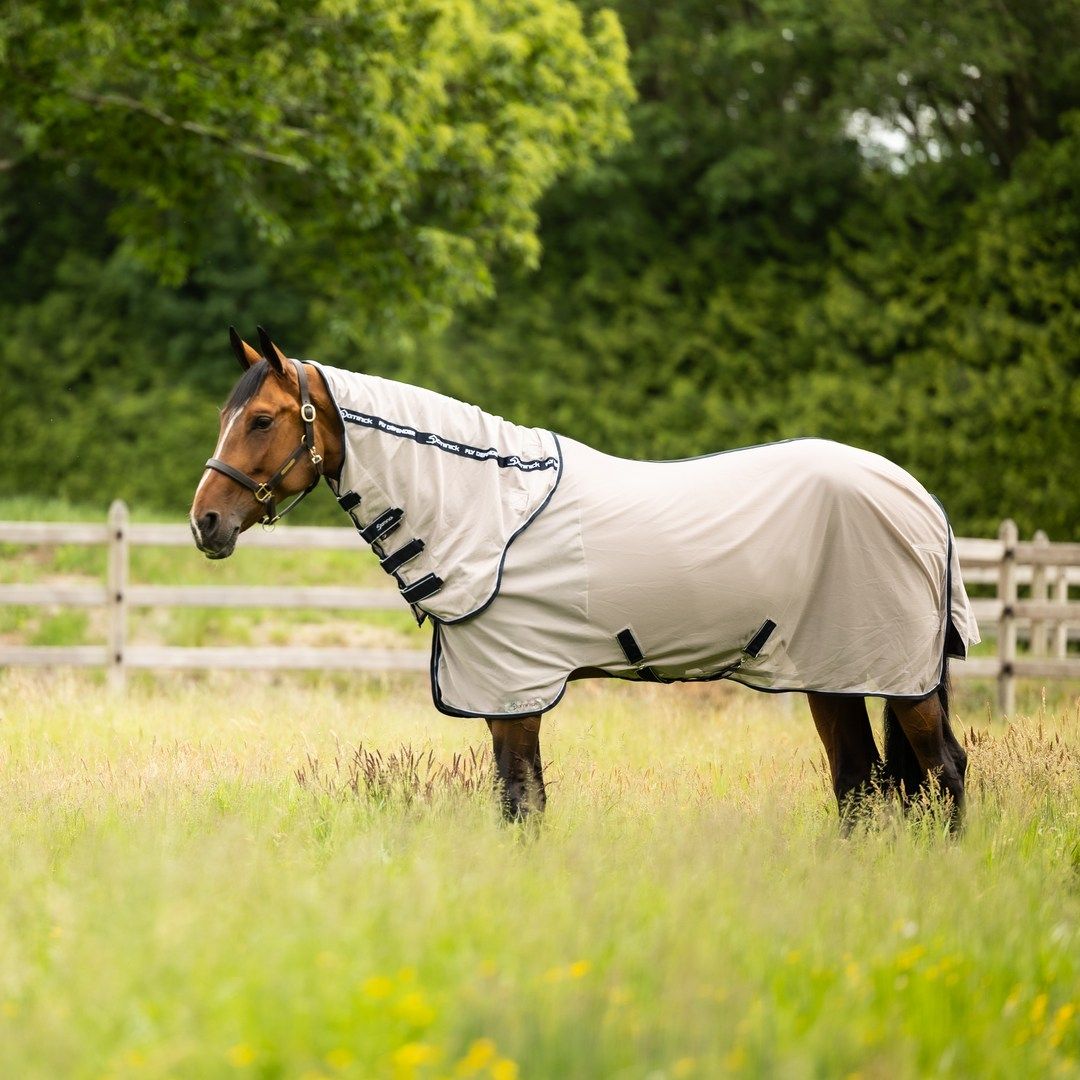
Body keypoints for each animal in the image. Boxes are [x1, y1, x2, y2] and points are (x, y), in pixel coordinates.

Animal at [190, 327, 975, 827]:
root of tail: (925, 505)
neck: (486, 508)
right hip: (830, 672)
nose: (205, 522)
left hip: (898, 680)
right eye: (227, 415)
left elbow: (521, 803)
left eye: (262, 420)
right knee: (859, 785)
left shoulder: (515, 690)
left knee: (943, 771)